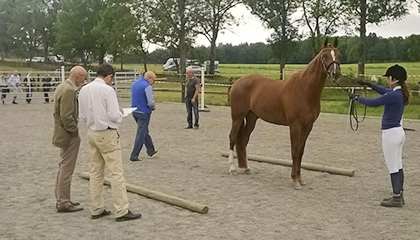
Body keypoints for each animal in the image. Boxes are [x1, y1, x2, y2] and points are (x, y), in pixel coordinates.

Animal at [226, 38, 342, 189]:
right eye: (324, 55)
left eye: (339, 55)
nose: (336, 73)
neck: (304, 90)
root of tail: (236, 82)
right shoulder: (295, 126)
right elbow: (294, 151)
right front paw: (295, 180)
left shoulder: (308, 126)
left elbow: (300, 152)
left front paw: (300, 178)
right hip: (237, 117)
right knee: (233, 138)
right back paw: (232, 169)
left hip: (251, 118)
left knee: (244, 140)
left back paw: (247, 168)